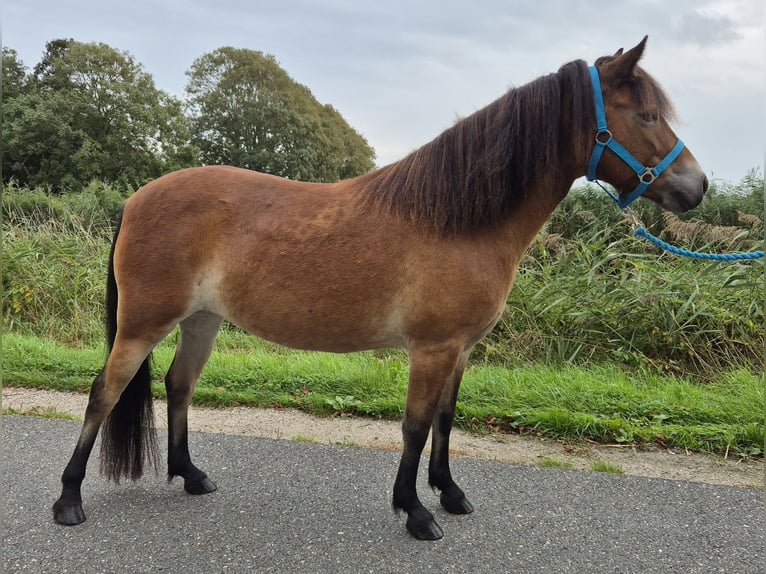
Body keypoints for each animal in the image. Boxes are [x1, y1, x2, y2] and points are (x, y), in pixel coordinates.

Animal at [52, 37, 707, 540]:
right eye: (646, 116)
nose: (696, 187)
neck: (459, 221)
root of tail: (137, 197)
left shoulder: (461, 350)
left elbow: (446, 419)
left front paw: (449, 493)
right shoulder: (433, 348)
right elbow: (415, 426)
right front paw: (416, 512)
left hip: (202, 322)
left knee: (178, 386)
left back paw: (191, 476)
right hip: (143, 324)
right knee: (103, 393)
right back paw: (69, 500)